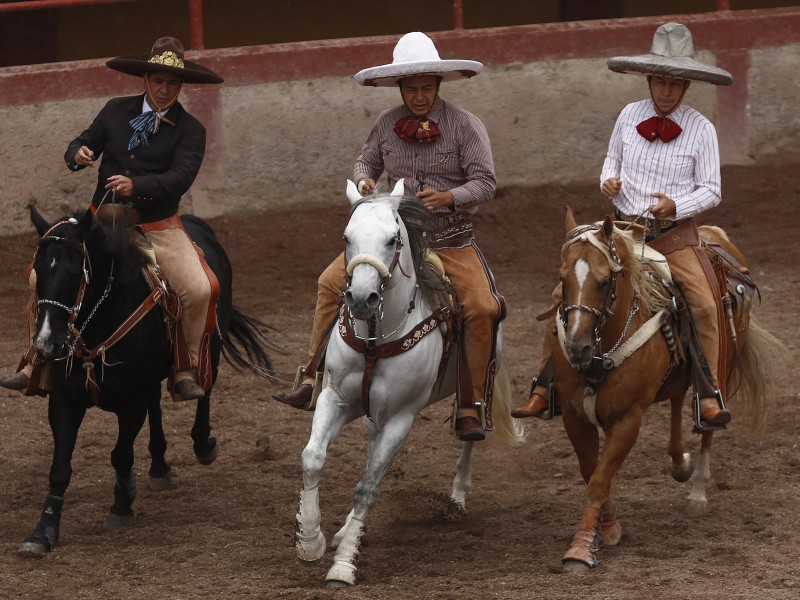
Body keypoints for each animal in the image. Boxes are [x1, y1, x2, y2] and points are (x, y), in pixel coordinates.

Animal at [18, 206, 276, 556]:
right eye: (39, 270)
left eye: (74, 273)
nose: (46, 344)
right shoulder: (64, 401)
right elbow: (59, 469)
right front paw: (42, 532)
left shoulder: (131, 404)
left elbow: (120, 454)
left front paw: (122, 503)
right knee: (157, 405)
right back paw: (159, 465)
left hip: (211, 344)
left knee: (206, 387)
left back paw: (203, 443)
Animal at [294, 180, 524, 588]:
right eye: (346, 237)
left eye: (392, 239)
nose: (361, 298)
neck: (375, 337)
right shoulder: (335, 399)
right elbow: (313, 458)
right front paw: (311, 540)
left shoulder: (401, 418)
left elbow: (368, 487)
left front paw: (342, 566)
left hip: (476, 385)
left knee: (469, 433)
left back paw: (458, 495)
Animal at [552, 210, 784, 572]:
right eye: (563, 279)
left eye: (604, 282)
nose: (577, 348)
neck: (601, 354)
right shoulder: (574, 417)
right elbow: (592, 473)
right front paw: (609, 528)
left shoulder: (628, 419)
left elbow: (600, 478)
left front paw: (580, 550)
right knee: (677, 399)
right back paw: (679, 463)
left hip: (722, 365)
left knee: (708, 420)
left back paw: (697, 491)